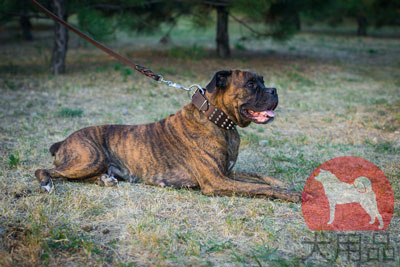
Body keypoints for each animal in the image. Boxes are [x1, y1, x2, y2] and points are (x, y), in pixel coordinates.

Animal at [35, 70, 300, 202]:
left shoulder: (227, 172)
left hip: (94, 164)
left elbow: (259, 177)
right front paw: (293, 195)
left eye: (263, 81)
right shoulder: (217, 181)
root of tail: (64, 141)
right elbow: (260, 188)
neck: (218, 121)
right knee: (45, 170)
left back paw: (105, 180)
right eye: (252, 84)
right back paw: (46, 184)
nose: (274, 90)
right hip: (90, 158)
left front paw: (284, 183)